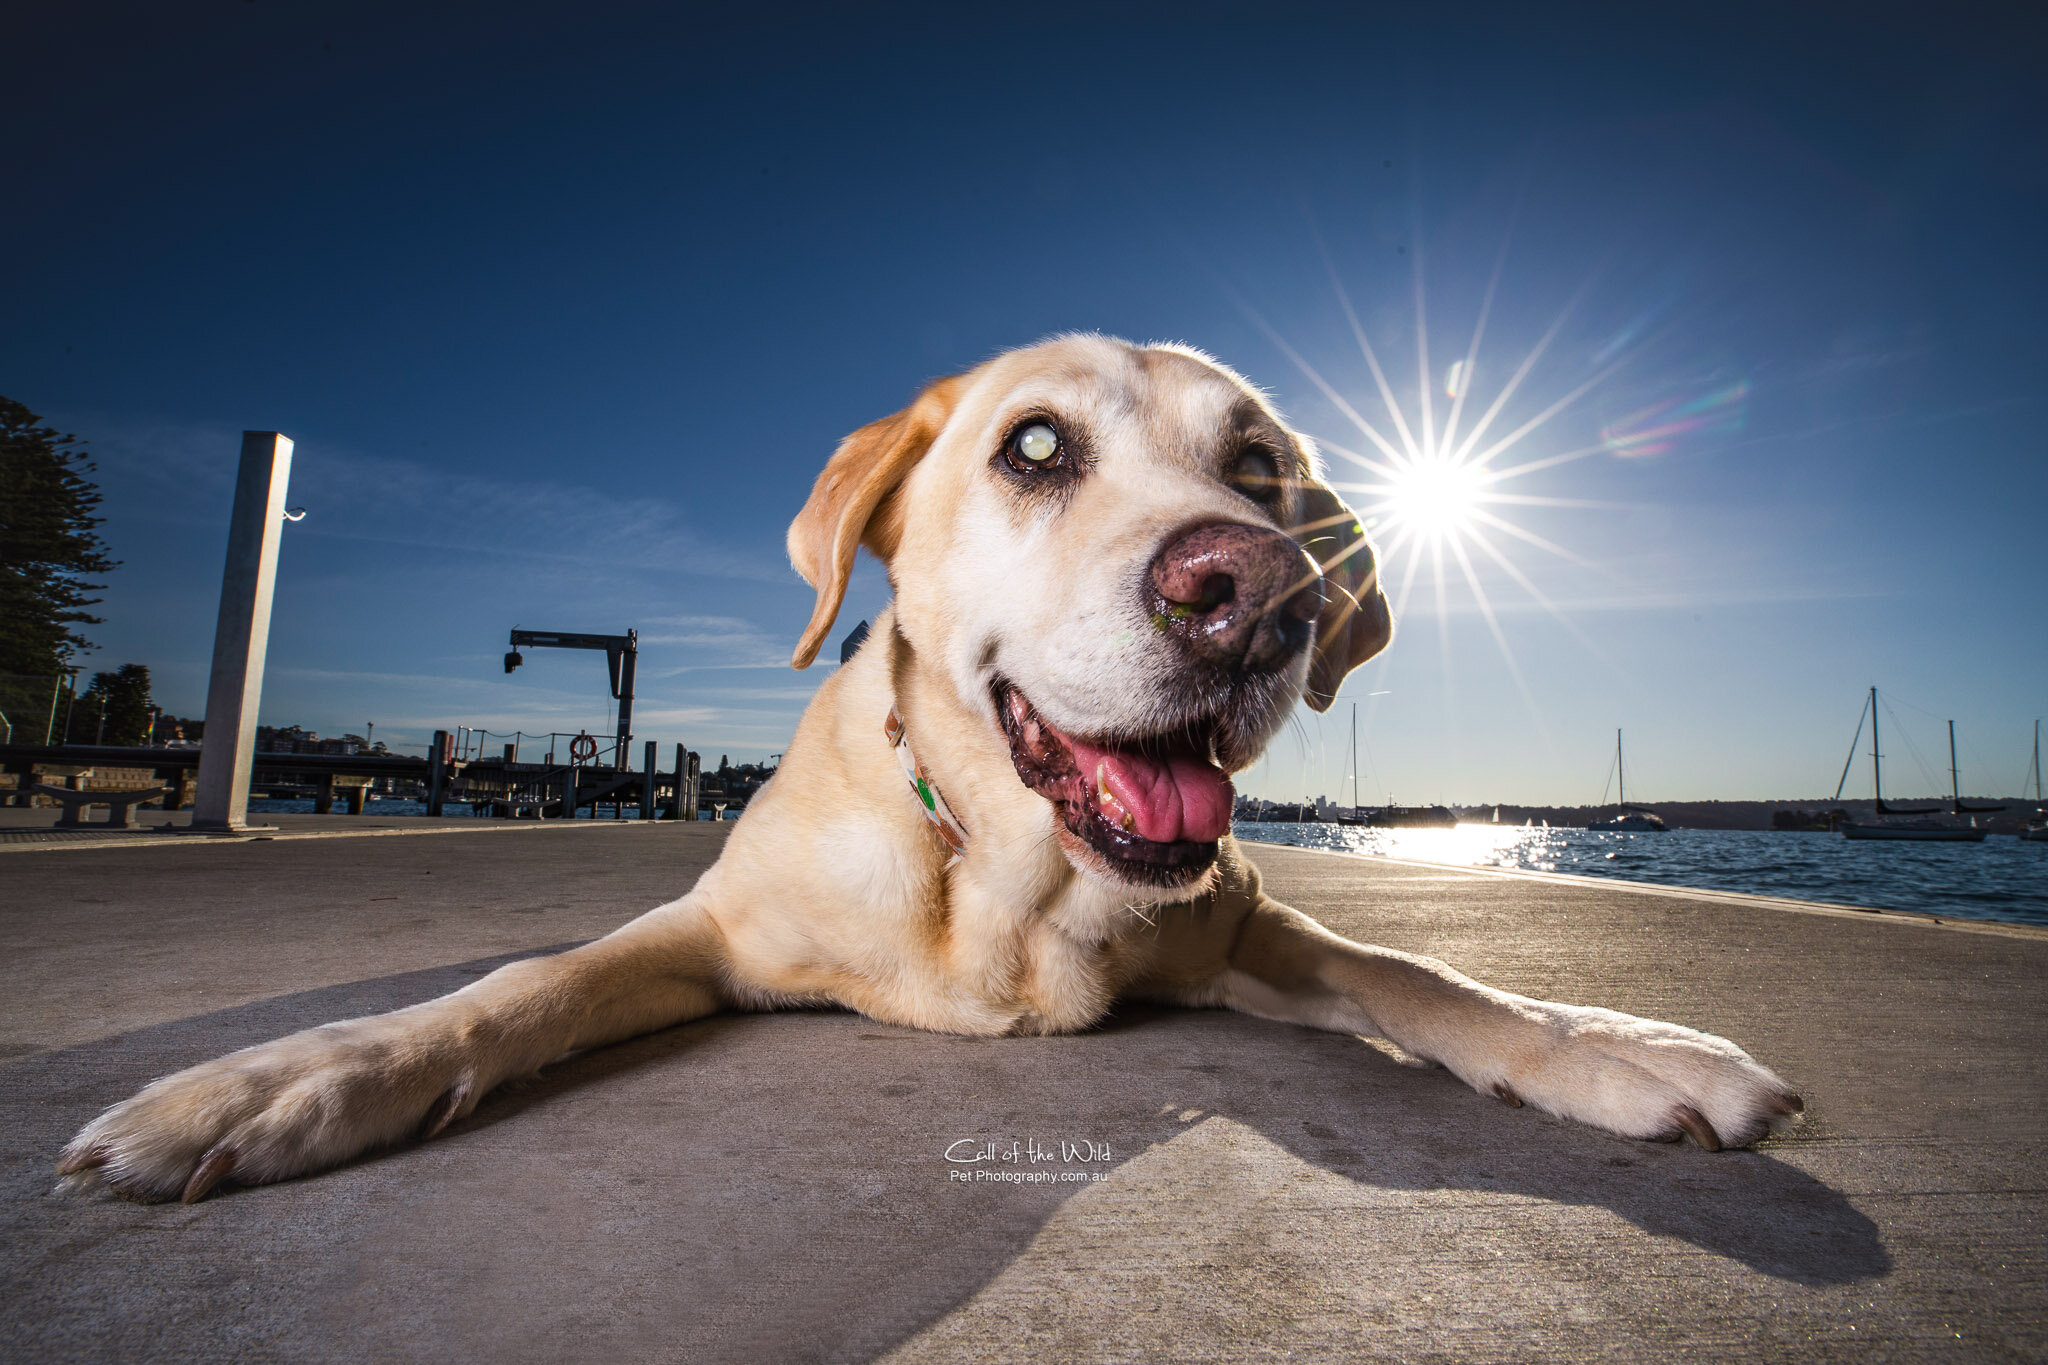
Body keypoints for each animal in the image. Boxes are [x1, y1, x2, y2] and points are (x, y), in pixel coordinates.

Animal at [59, 335, 1794, 1203]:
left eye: (1261, 471)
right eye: (1033, 447)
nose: (1255, 592)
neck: (1002, 878)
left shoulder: (1240, 928)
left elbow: (1422, 976)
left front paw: (1614, 1045)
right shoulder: (710, 930)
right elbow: (517, 986)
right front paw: (280, 1082)